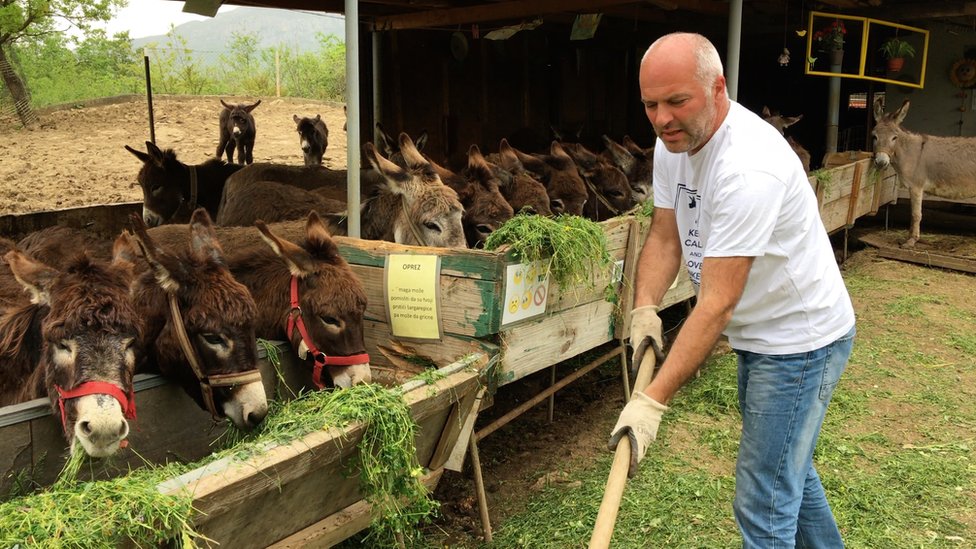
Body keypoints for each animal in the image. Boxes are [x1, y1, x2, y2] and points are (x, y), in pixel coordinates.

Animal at [872, 97, 976, 247]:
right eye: (874, 136)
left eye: (894, 138)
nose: (881, 162)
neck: (910, 152)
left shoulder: (916, 186)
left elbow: (916, 214)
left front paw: (911, 241)